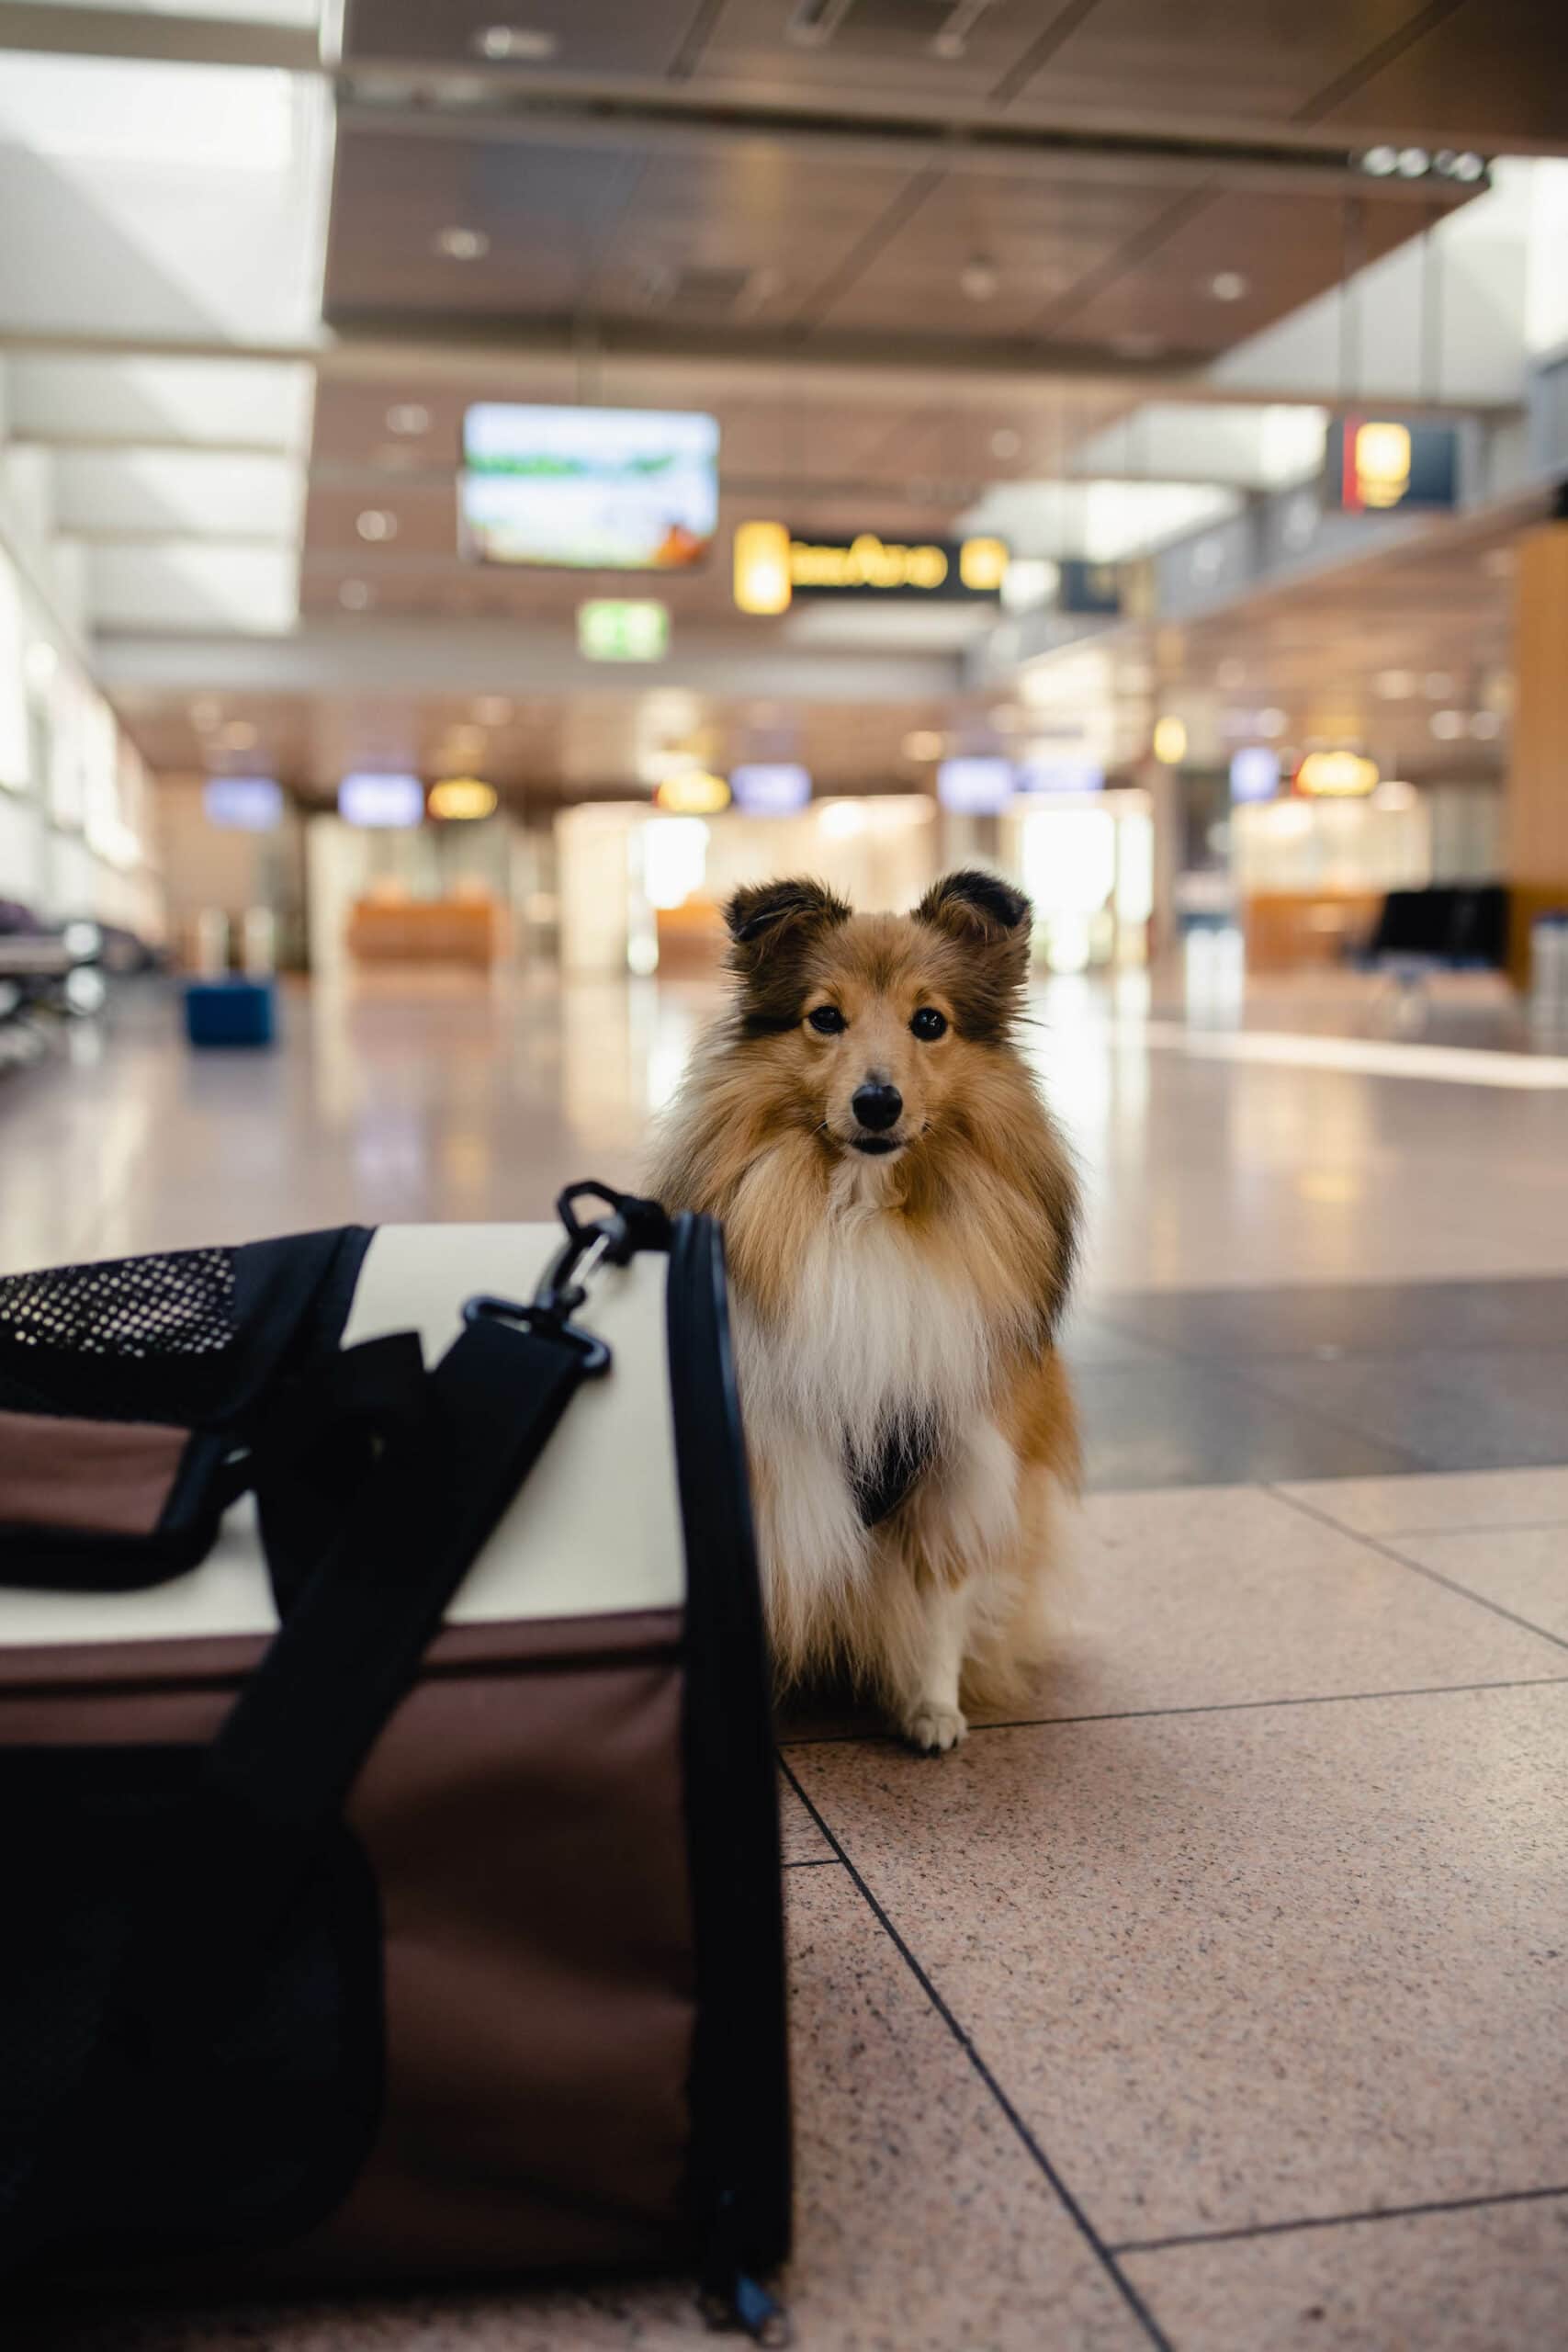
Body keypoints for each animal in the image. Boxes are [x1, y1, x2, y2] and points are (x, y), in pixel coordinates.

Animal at [649, 870, 1081, 1749]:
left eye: (930, 1022)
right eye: (825, 1018)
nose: (877, 1103)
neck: (865, 1207)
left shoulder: (961, 1456)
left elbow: (943, 1597)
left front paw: (933, 1709)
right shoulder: (773, 1457)